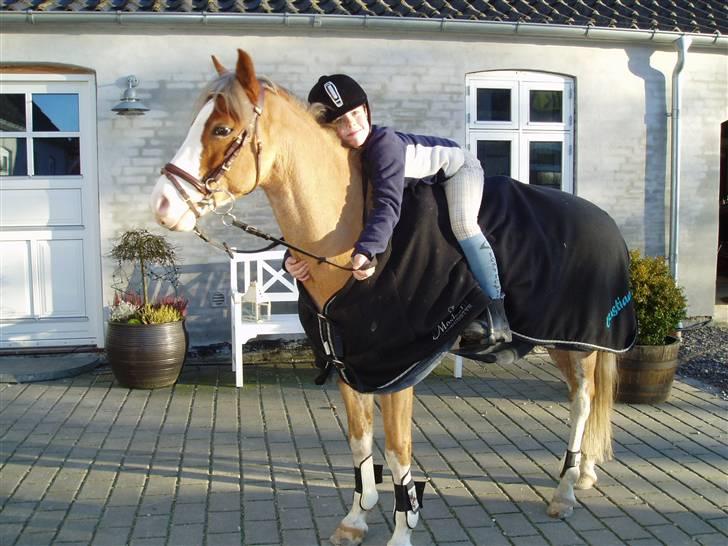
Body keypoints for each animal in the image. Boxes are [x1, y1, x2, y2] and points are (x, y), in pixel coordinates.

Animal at [151, 49, 626, 546]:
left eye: (222, 129)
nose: (162, 204)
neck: (353, 238)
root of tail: (603, 219)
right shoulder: (351, 366)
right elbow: (360, 442)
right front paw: (356, 518)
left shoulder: (398, 374)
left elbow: (398, 454)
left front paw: (400, 530)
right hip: (561, 342)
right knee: (583, 400)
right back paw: (585, 473)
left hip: (582, 342)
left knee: (583, 401)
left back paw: (566, 490)